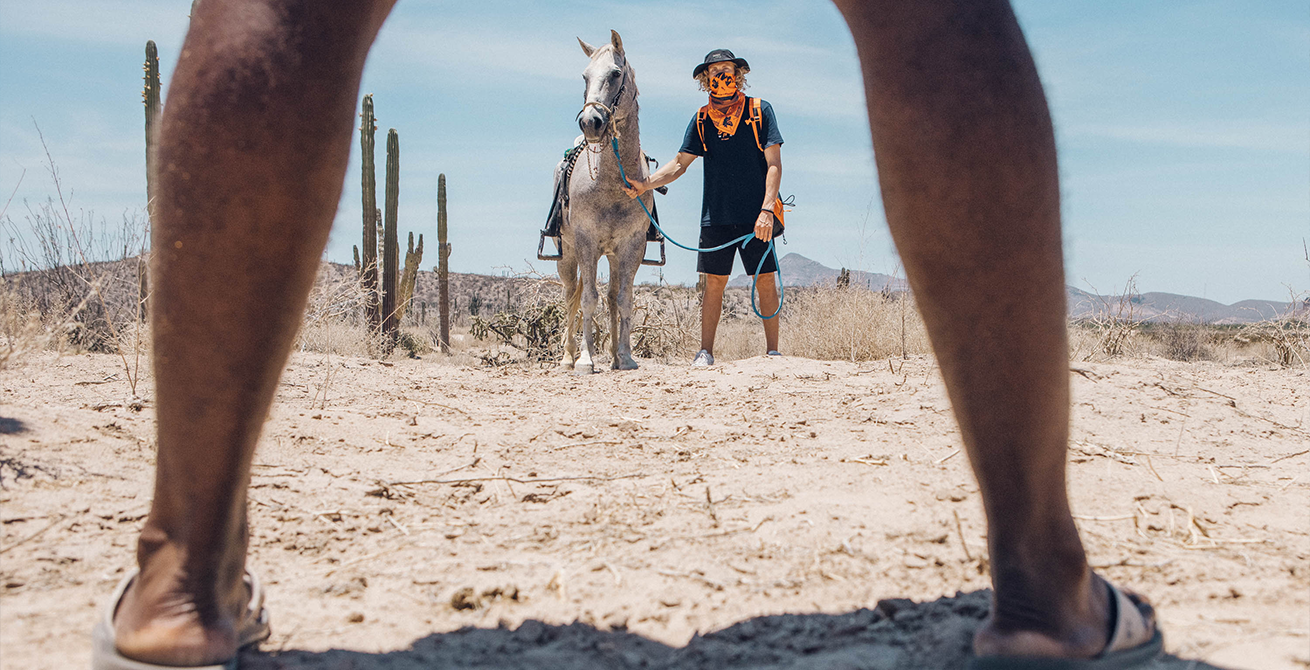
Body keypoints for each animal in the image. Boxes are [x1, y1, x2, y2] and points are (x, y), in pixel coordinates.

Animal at [555, 31, 652, 374]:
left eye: (615, 73)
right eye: (585, 76)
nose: (590, 122)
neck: (611, 184)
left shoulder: (631, 245)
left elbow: (622, 298)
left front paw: (624, 356)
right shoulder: (586, 242)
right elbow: (587, 299)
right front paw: (585, 359)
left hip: (610, 255)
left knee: (609, 296)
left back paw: (612, 355)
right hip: (568, 256)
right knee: (571, 295)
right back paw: (568, 356)